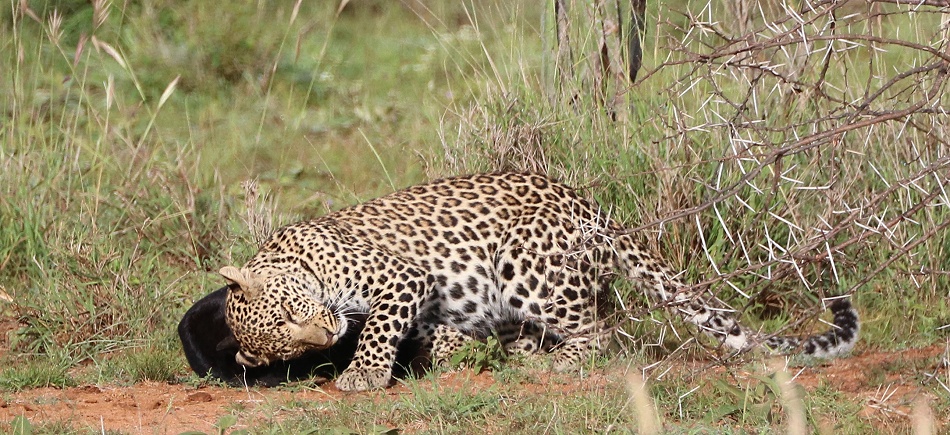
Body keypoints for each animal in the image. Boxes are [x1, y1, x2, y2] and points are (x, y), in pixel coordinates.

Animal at [220, 172, 860, 391]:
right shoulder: (424, 307)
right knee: (556, 331)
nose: (328, 337)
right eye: (287, 345)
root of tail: (589, 204)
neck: (295, 256)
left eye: (289, 317)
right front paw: (452, 352)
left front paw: (362, 374)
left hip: (524, 268)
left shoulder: (403, 278)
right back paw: (517, 357)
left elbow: (380, 328)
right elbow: (428, 334)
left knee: (602, 334)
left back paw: (550, 365)